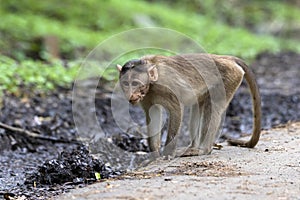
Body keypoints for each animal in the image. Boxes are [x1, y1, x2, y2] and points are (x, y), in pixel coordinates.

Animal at [116, 53, 262, 158]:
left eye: (135, 83)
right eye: (125, 83)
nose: (130, 95)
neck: (152, 84)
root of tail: (225, 57)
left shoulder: (166, 86)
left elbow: (176, 109)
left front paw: (167, 154)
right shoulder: (147, 98)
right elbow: (153, 115)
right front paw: (154, 154)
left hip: (230, 78)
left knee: (212, 108)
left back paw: (203, 150)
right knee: (198, 106)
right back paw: (193, 147)